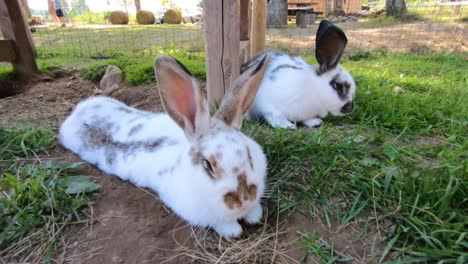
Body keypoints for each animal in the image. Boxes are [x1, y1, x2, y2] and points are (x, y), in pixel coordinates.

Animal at [59, 54, 270, 238]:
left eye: (249, 155)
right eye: (207, 165)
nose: (244, 201)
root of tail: (80, 109)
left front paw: (253, 215)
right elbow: (223, 224)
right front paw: (233, 230)